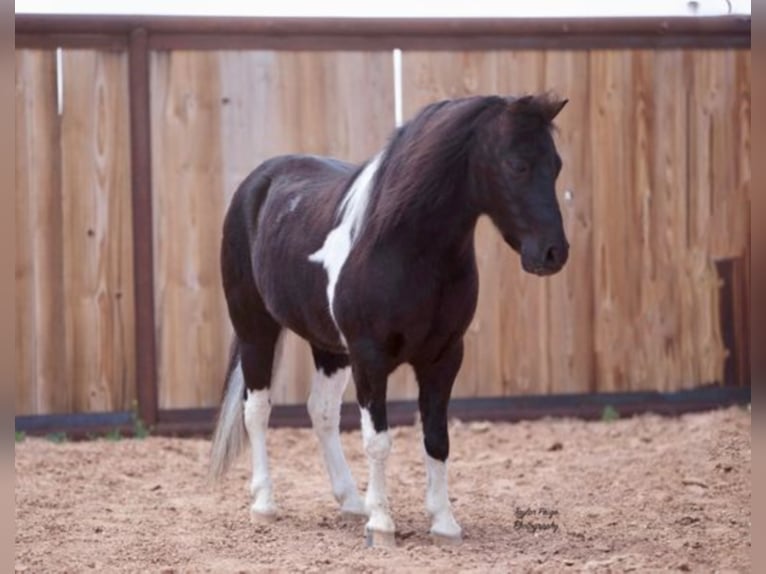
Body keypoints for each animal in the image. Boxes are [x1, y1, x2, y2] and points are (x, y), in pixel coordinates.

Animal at [210, 93, 568, 548]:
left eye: (556, 165)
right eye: (516, 165)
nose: (553, 253)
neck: (406, 248)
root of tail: (258, 183)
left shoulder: (444, 357)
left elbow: (436, 439)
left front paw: (444, 523)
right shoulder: (370, 358)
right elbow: (377, 441)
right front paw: (381, 525)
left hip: (328, 347)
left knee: (321, 411)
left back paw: (350, 501)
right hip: (255, 328)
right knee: (256, 409)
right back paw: (265, 504)